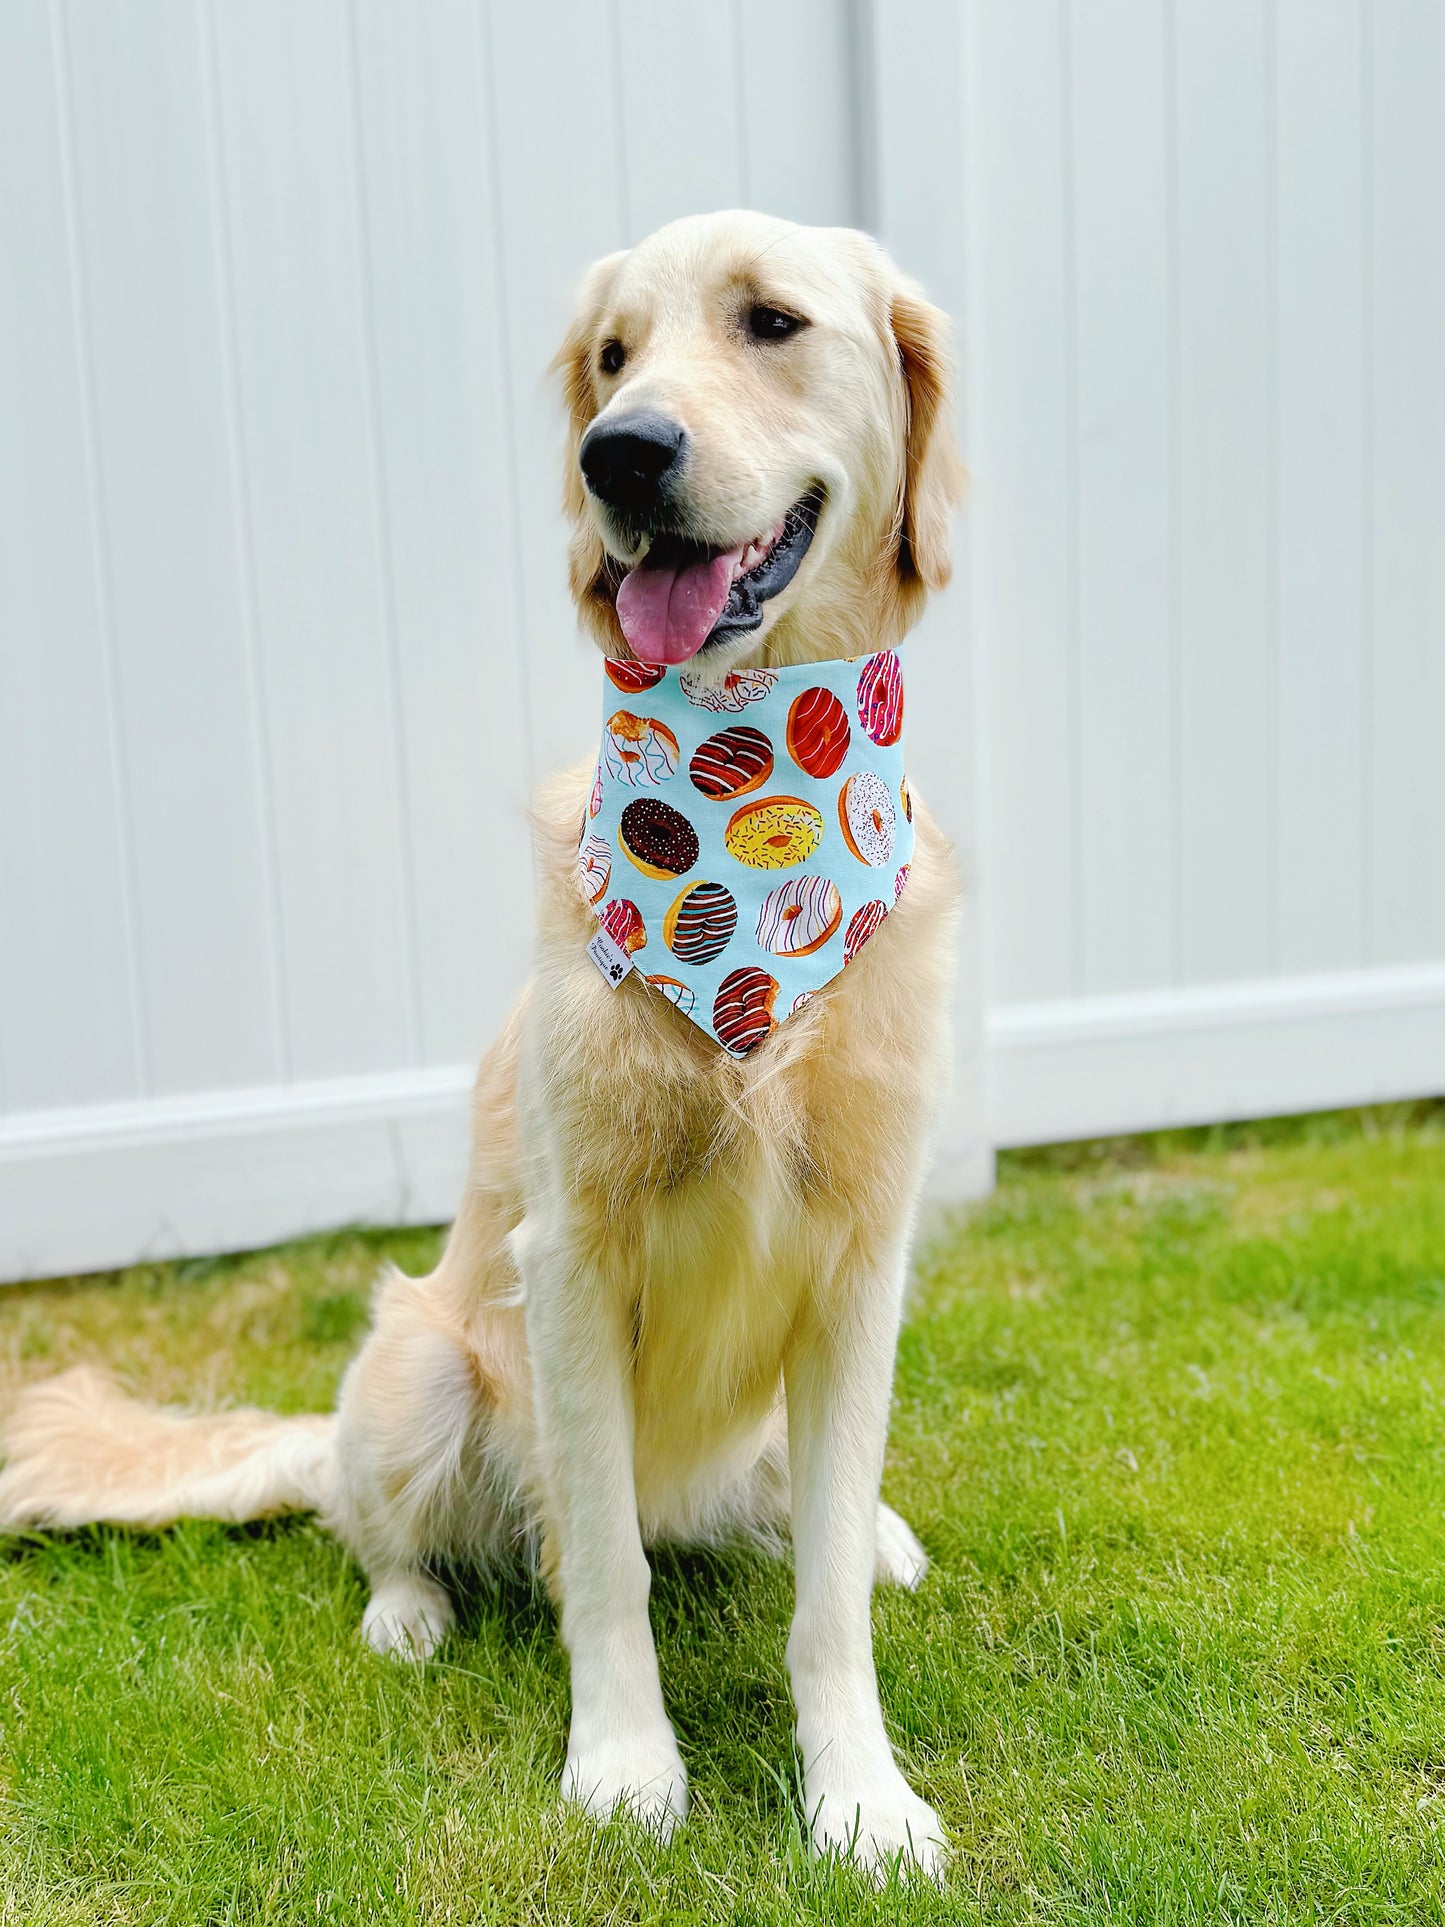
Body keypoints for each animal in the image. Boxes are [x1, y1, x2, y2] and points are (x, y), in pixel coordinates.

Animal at [5, 214, 974, 1880]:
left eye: (770, 322)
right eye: (611, 355)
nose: (619, 454)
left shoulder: (861, 1261)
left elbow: (828, 1594)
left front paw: (859, 1793)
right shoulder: (573, 1257)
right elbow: (602, 1566)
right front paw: (626, 1764)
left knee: (796, 1516)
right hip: (420, 1369)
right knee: (379, 1523)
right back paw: (407, 1610)